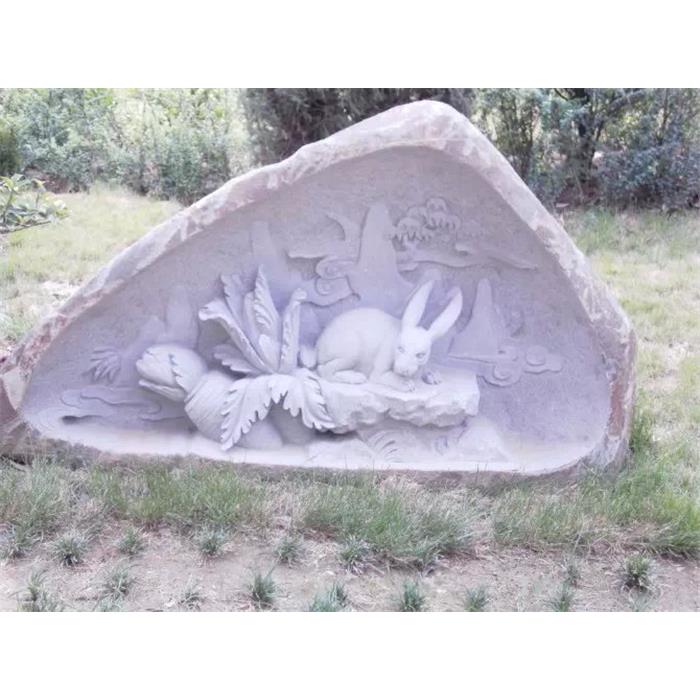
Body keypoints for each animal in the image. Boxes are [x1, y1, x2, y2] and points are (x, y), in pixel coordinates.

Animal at [304, 281, 463, 392]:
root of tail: (318, 345)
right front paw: (405, 384)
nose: (403, 370)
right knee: (324, 370)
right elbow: (384, 376)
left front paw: (433, 376)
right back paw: (355, 378)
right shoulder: (380, 367)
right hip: (351, 351)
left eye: (420, 355)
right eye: (400, 348)